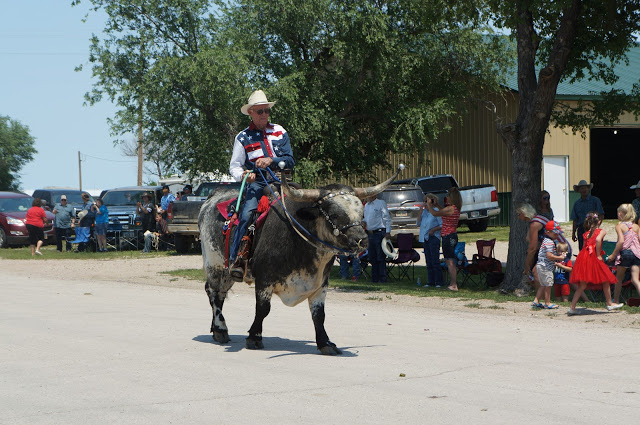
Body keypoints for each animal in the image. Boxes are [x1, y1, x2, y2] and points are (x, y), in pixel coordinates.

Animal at [198, 166, 403, 354]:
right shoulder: (264, 280)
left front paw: (325, 343)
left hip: (227, 271)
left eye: (361, 213)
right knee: (214, 293)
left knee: (221, 293)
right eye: (334, 214)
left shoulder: (320, 284)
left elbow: (319, 315)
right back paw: (220, 329)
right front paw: (254, 337)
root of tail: (214, 196)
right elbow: (263, 309)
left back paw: (217, 329)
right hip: (215, 263)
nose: (362, 241)